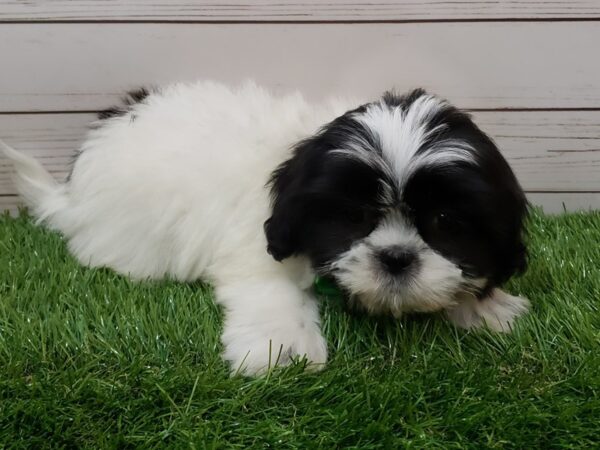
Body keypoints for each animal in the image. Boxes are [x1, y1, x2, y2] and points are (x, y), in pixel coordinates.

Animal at [1, 81, 528, 376]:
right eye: (353, 217)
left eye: (445, 222)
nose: (396, 258)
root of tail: (74, 194)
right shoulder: (257, 248)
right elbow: (272, 290)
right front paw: (285, 349)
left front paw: (486, 306)